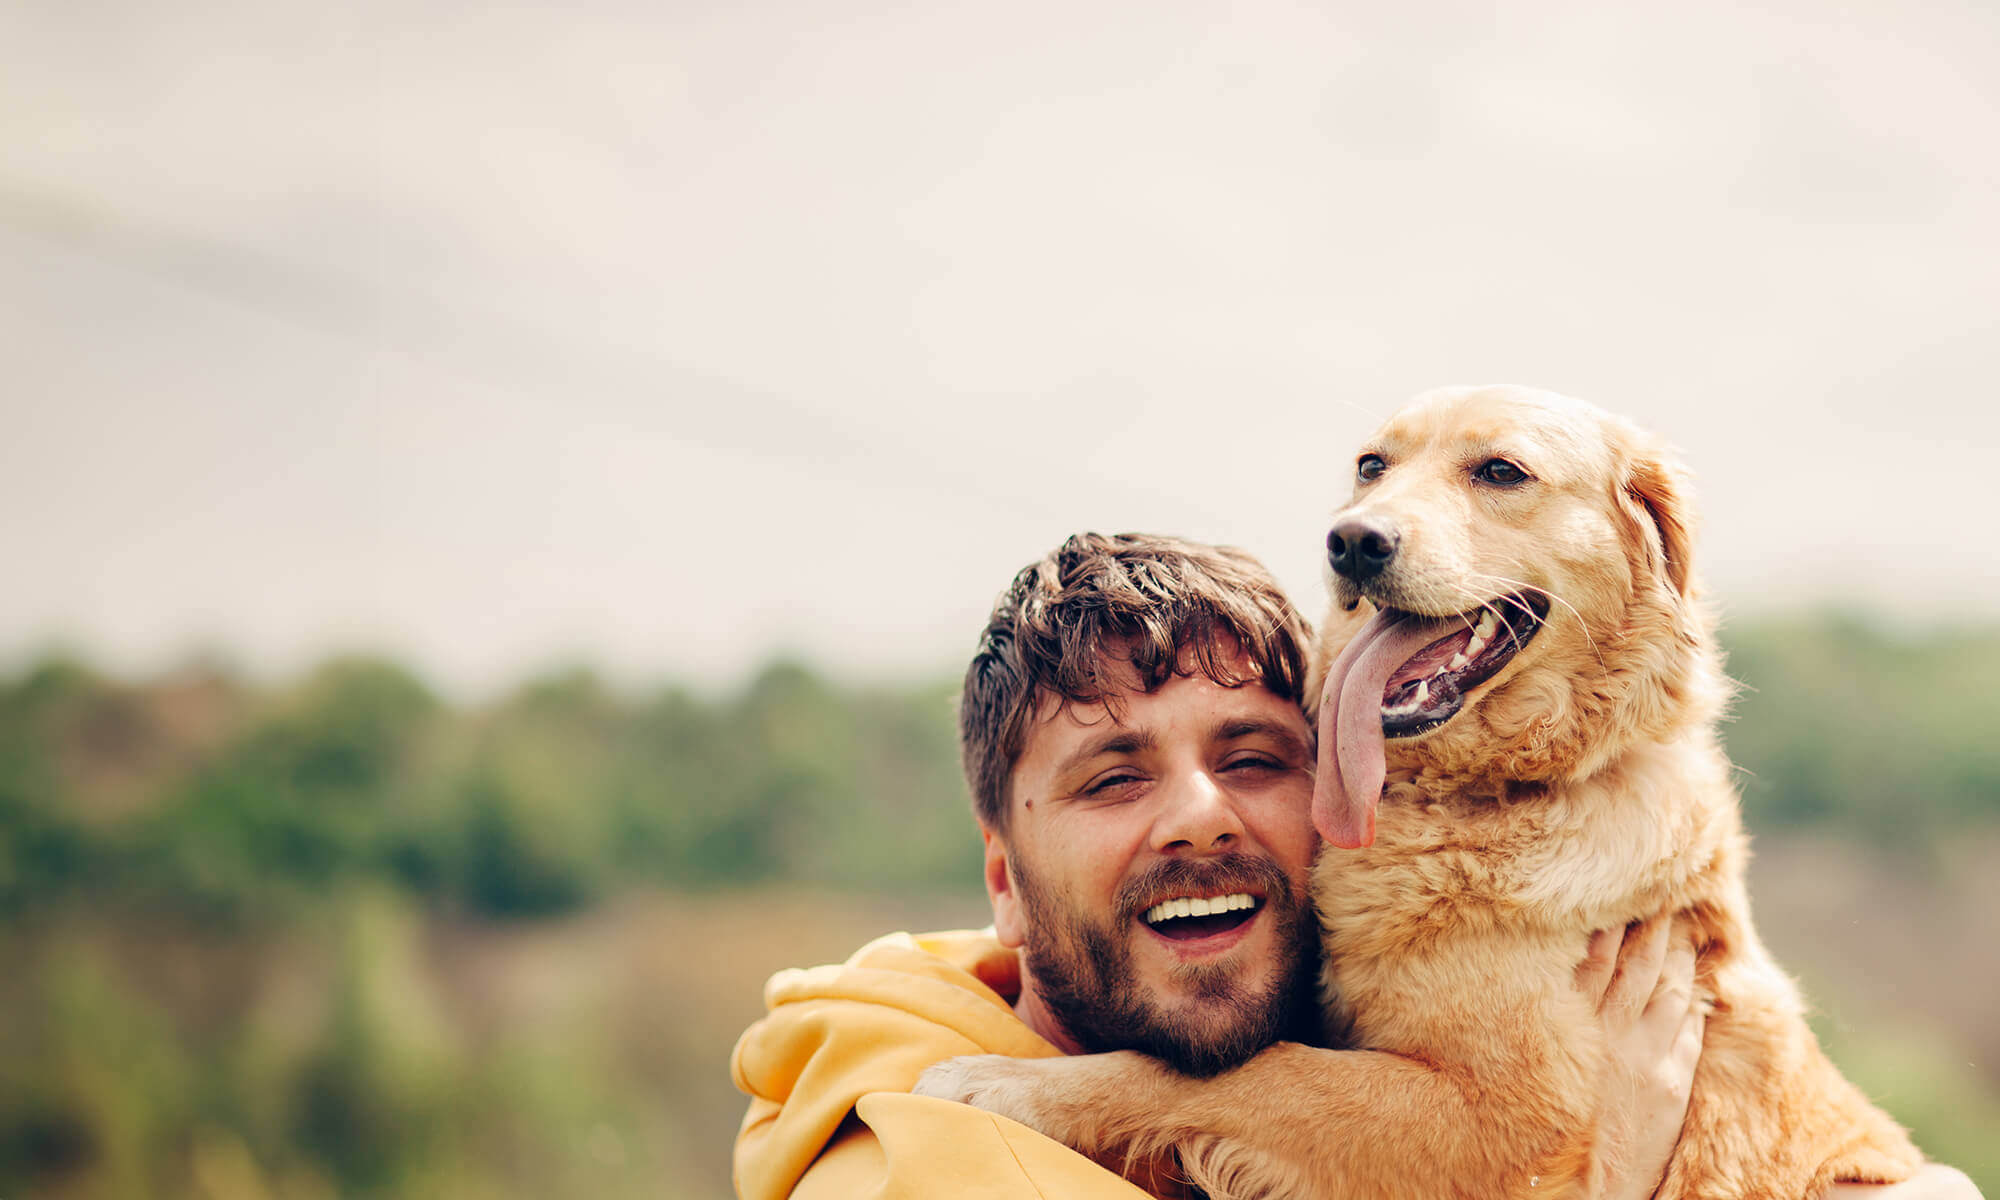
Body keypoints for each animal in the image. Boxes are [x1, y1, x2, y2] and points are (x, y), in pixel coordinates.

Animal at [916, 386, 1920, 1200]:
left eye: (1501, 471)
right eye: (1372, 466)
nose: (1352, 542)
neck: (1488, 795)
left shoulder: (1507, 1114)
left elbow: (1255, 1072)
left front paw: (997, 1083)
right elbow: (1254, 1066)